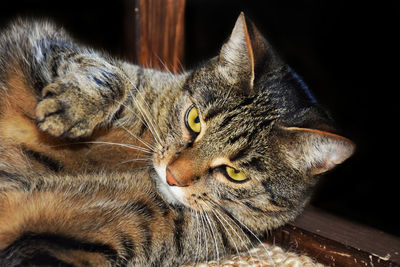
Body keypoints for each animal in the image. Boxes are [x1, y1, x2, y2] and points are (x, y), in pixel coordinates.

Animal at [0, 13, 354, 267]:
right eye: (194, 120)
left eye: (236, 173)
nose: (172, 175)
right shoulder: (45, 39)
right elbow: (110, 74)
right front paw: (74, 107)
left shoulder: (86, 243)